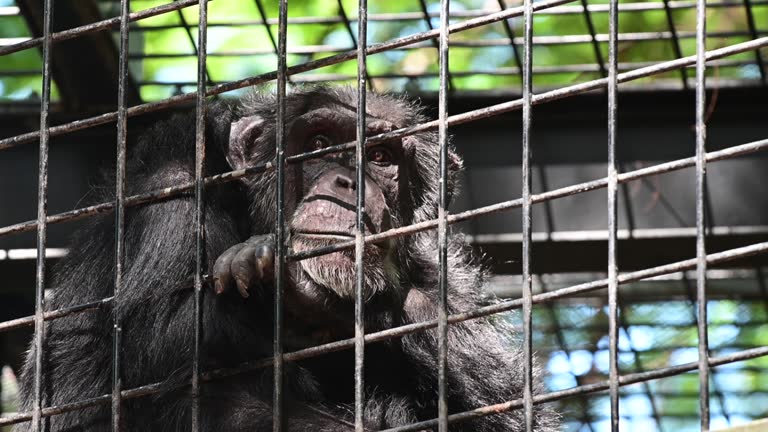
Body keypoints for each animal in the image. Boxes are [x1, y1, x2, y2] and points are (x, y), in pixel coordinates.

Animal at [15, 86, 560, 430]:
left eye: (381, 158)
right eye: (319, 143)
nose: (349, 182)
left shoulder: (445, 276)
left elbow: (506, 410)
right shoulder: (173, 176)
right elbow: (163, 341)